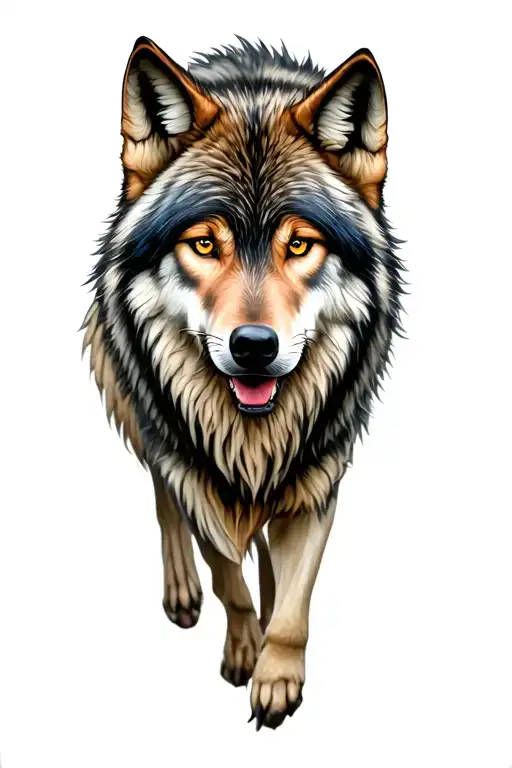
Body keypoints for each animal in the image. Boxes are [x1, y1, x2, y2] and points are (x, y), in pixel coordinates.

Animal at [82, 35, 404, 730]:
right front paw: (243, 650)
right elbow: (227, 577)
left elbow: (293, 604)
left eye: (299, 245)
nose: (254, 347)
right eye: (204, 244)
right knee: (162, 495)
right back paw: (181, 588)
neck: (253, 436)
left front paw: (276, 677)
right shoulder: (197, 473)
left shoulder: (318, 477)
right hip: (146, 414)